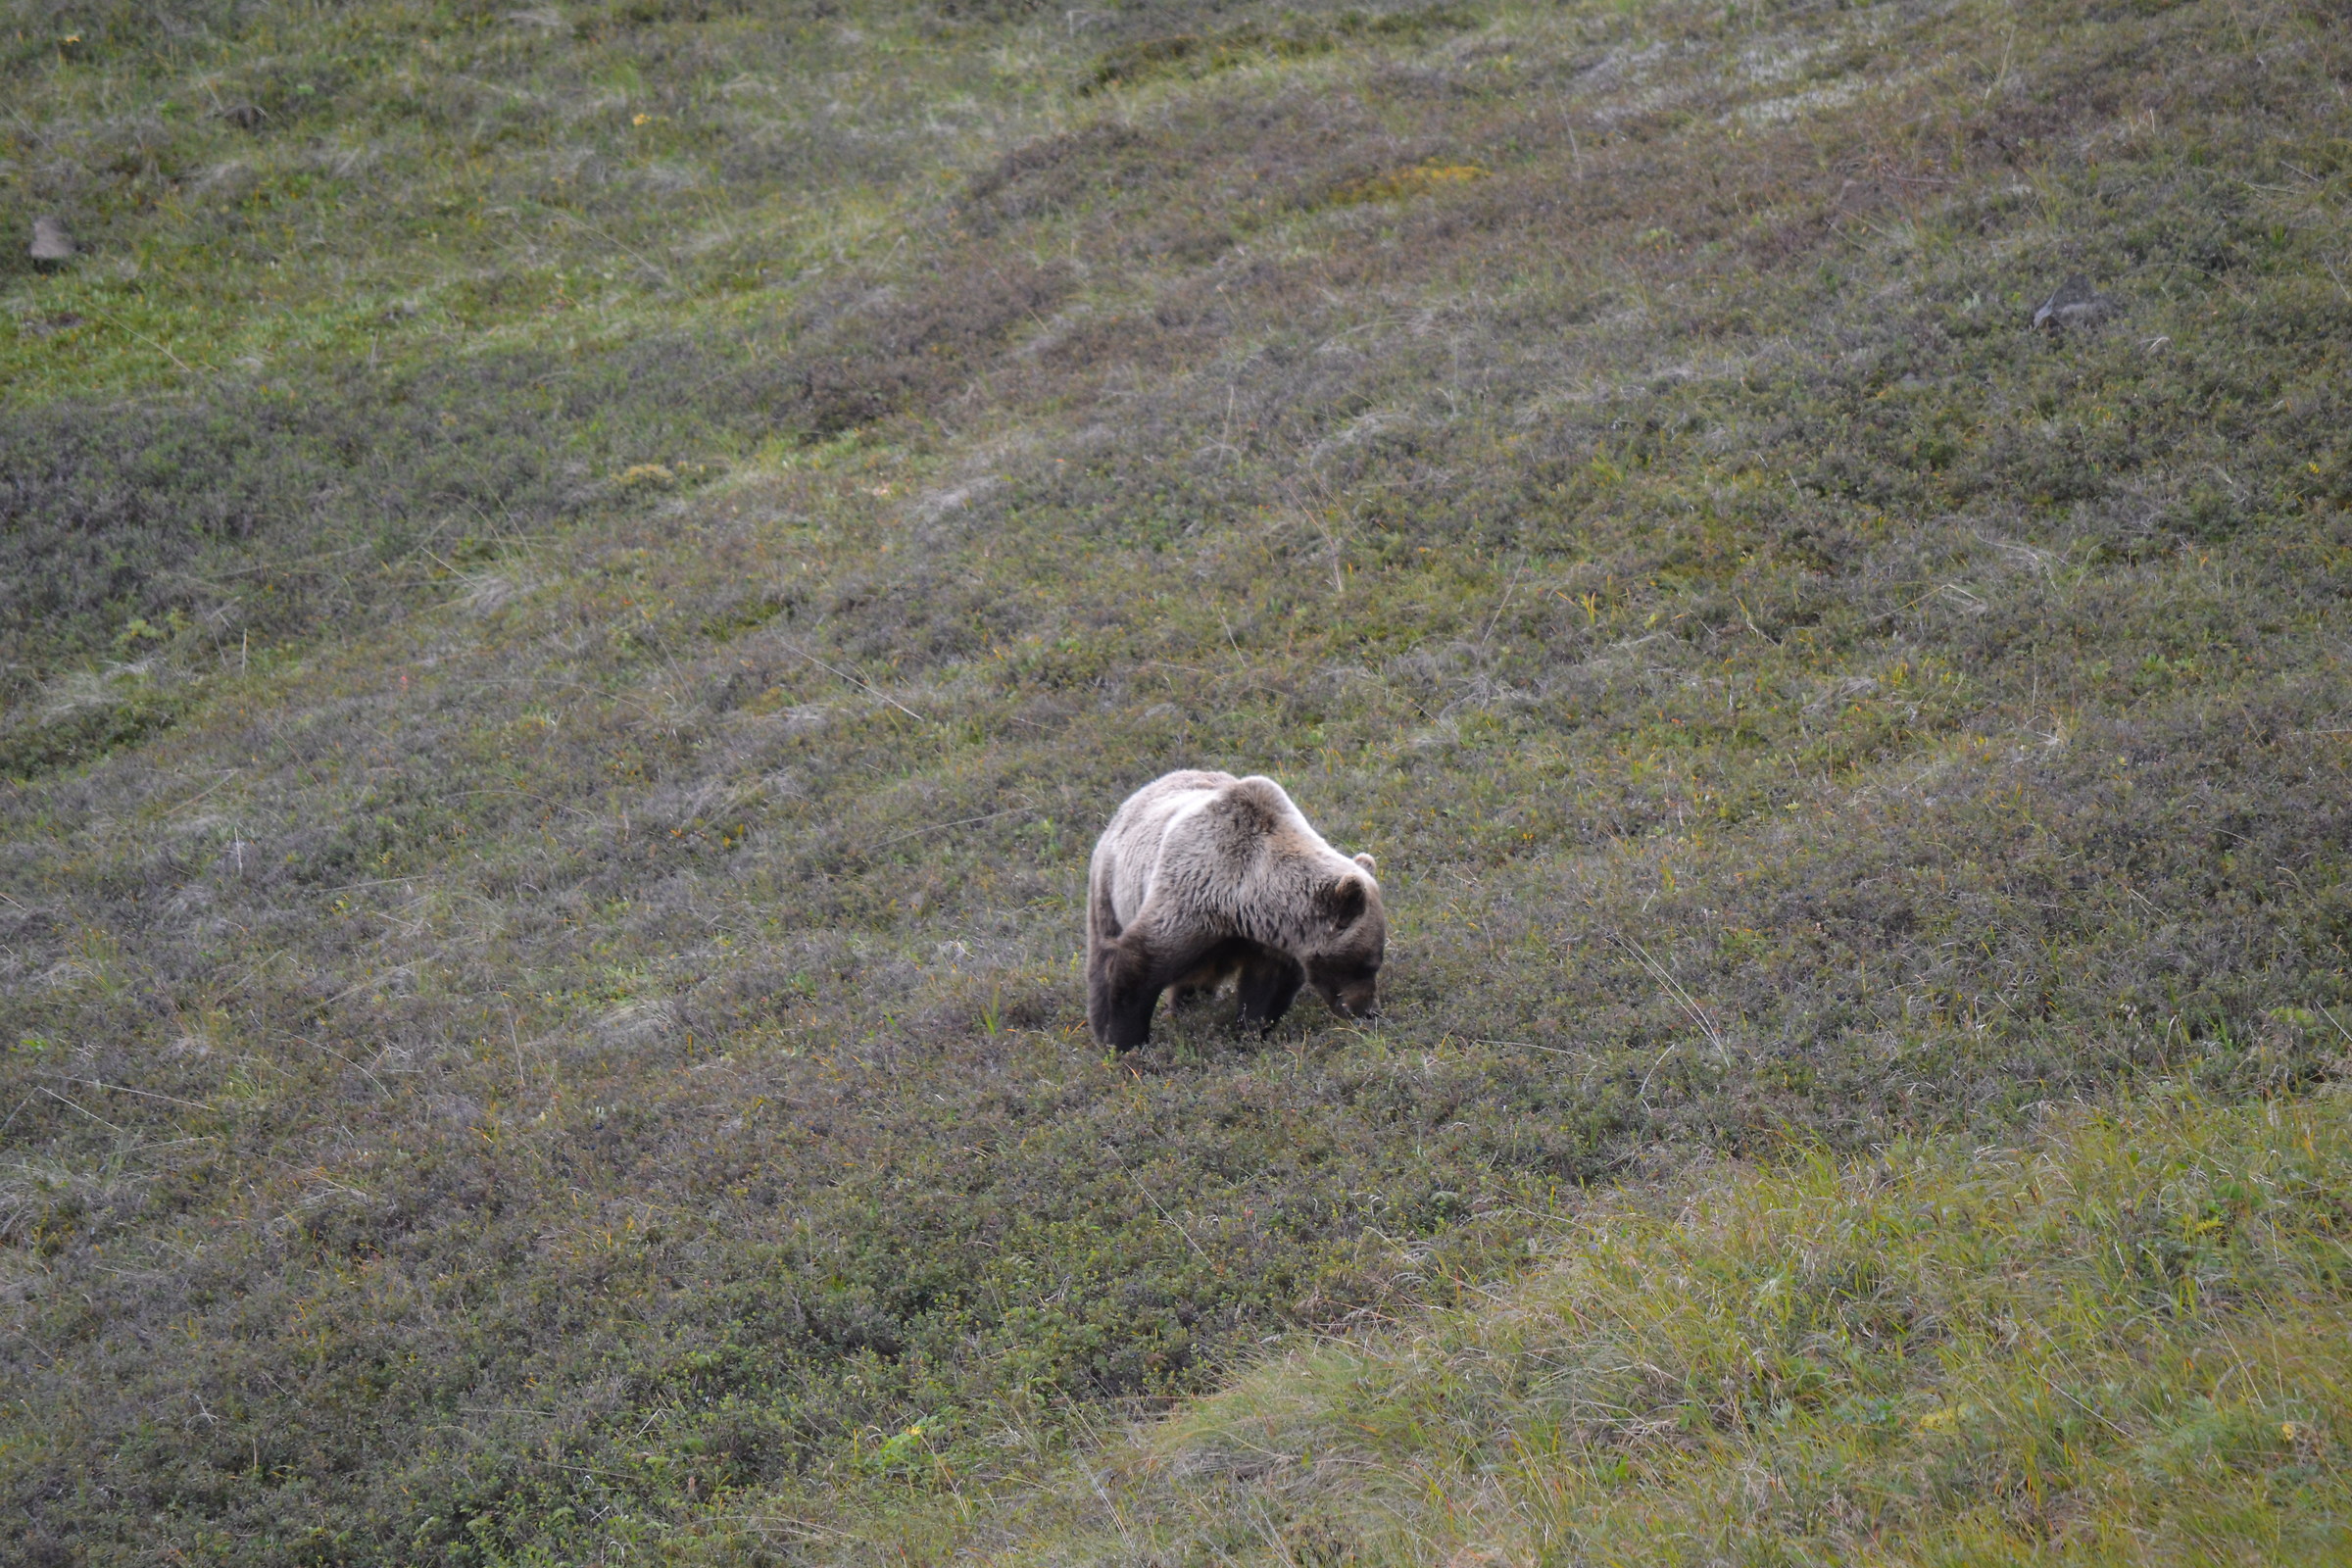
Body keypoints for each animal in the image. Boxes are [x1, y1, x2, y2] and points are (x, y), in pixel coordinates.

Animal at [1086, 770, 1386, 1050]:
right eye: (1366, 964)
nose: (1367, 1012)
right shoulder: (1190, 899)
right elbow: (1139, 965)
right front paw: (1124, 1043)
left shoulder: (1269, 940)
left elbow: (1265, 991)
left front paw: (1250, 1033)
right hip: (1111, 887)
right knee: (1102, 956)